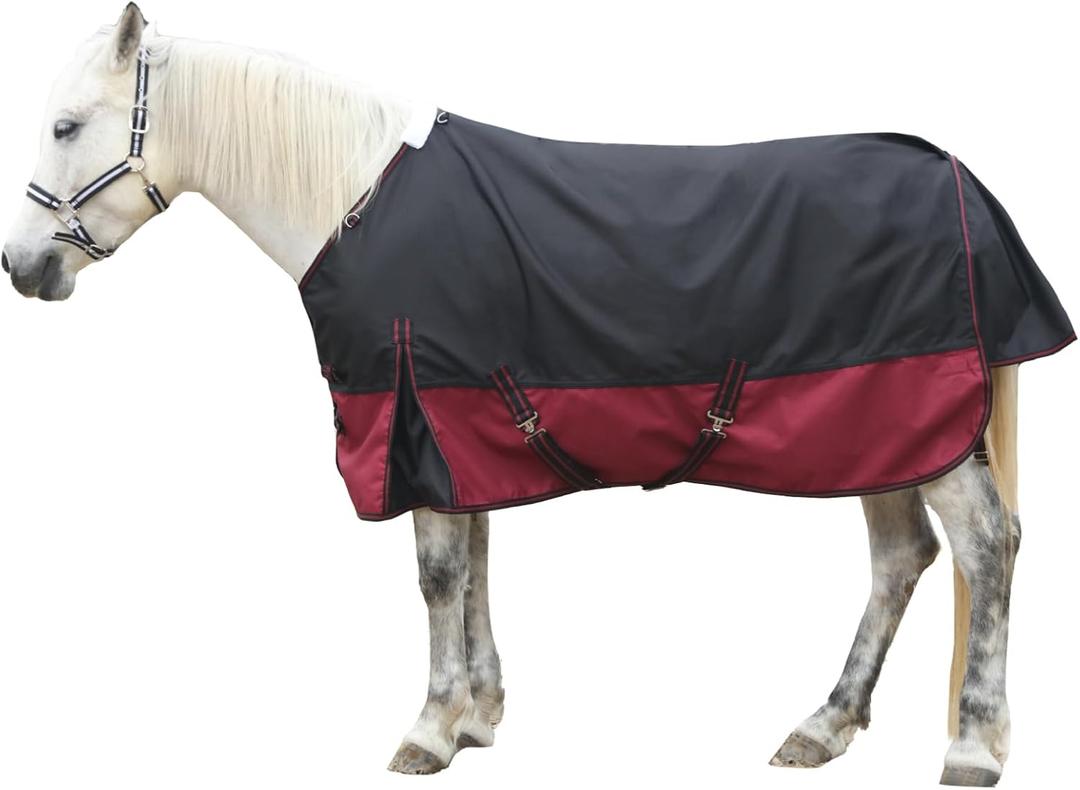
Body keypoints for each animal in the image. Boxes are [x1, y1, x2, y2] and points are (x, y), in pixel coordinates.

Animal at [3, 6, 1073, 785]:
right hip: (886, 433)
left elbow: (438, 577)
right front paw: (479, 717)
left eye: (65, 126)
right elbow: (474, 567)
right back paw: (825, 725)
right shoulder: (455, 429)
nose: (22, 268)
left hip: (923, 432)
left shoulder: (415, 419)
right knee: (903, 560)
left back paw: (970, 748)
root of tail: (964, 187)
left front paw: (429, 731)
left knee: (987, 546)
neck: (355, 204)